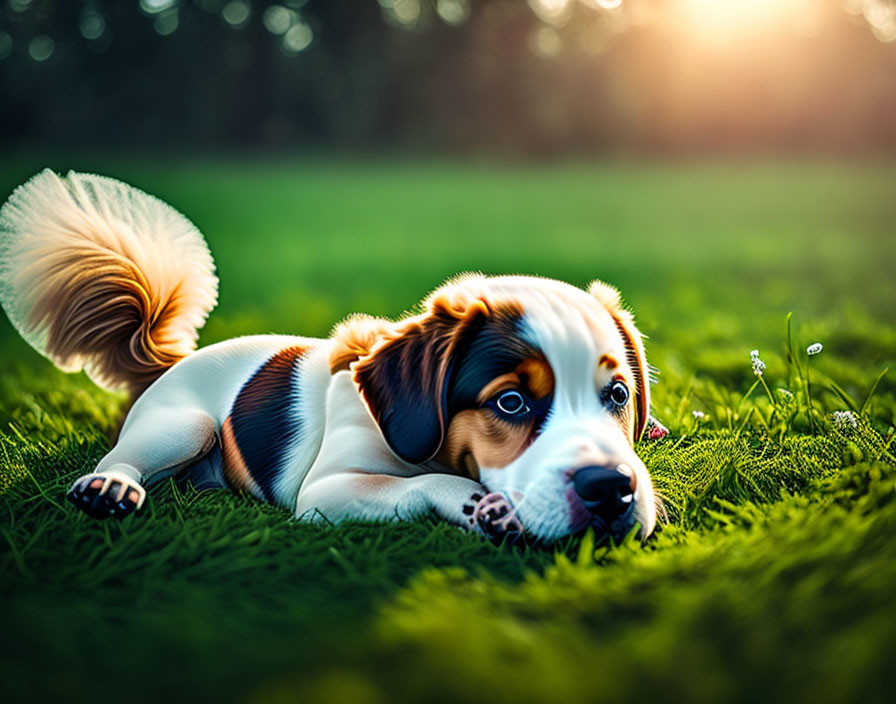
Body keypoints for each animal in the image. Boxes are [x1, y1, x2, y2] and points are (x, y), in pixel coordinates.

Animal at [0, 170, 656, 544]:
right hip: (181, 424)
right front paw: (473, 505)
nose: (612, 490)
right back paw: (110, 486)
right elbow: (423, 485)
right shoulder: (327, 490)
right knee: (123, 458)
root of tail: (173, 360)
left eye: (618, 395)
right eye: (512, 401)